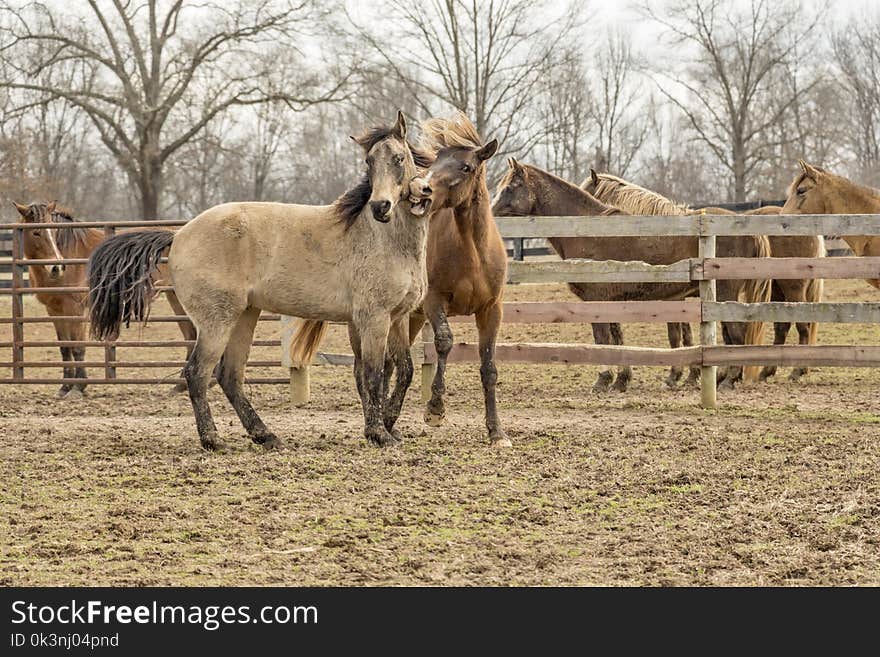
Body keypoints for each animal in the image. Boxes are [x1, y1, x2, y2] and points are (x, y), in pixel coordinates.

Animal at [87, 113, 432, 452]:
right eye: (369, 162)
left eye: (399, 159)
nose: (380, 207)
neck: (383, 240)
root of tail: (179, 234)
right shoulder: (373, 318)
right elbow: (373, 374)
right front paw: (379, 434)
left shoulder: (396, 319)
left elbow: (402, 370)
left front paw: (387, 427)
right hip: (217, 321)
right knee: (198, 373)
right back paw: (214, 440)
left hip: (244, 316)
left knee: (229, 376)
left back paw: (265, 435)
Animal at [290, 115, 508, 448]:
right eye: (435, 162)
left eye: (466, 167)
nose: (424, 191)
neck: (472, 253)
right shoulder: (433, 302)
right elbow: (444, 342)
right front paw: (434, 409)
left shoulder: (491, 310)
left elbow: (488, 367)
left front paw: (496, 431)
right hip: (365, 322)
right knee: (363, 369)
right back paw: (379, 423)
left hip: (407, 319)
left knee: (390, 365)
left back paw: (387, 422)